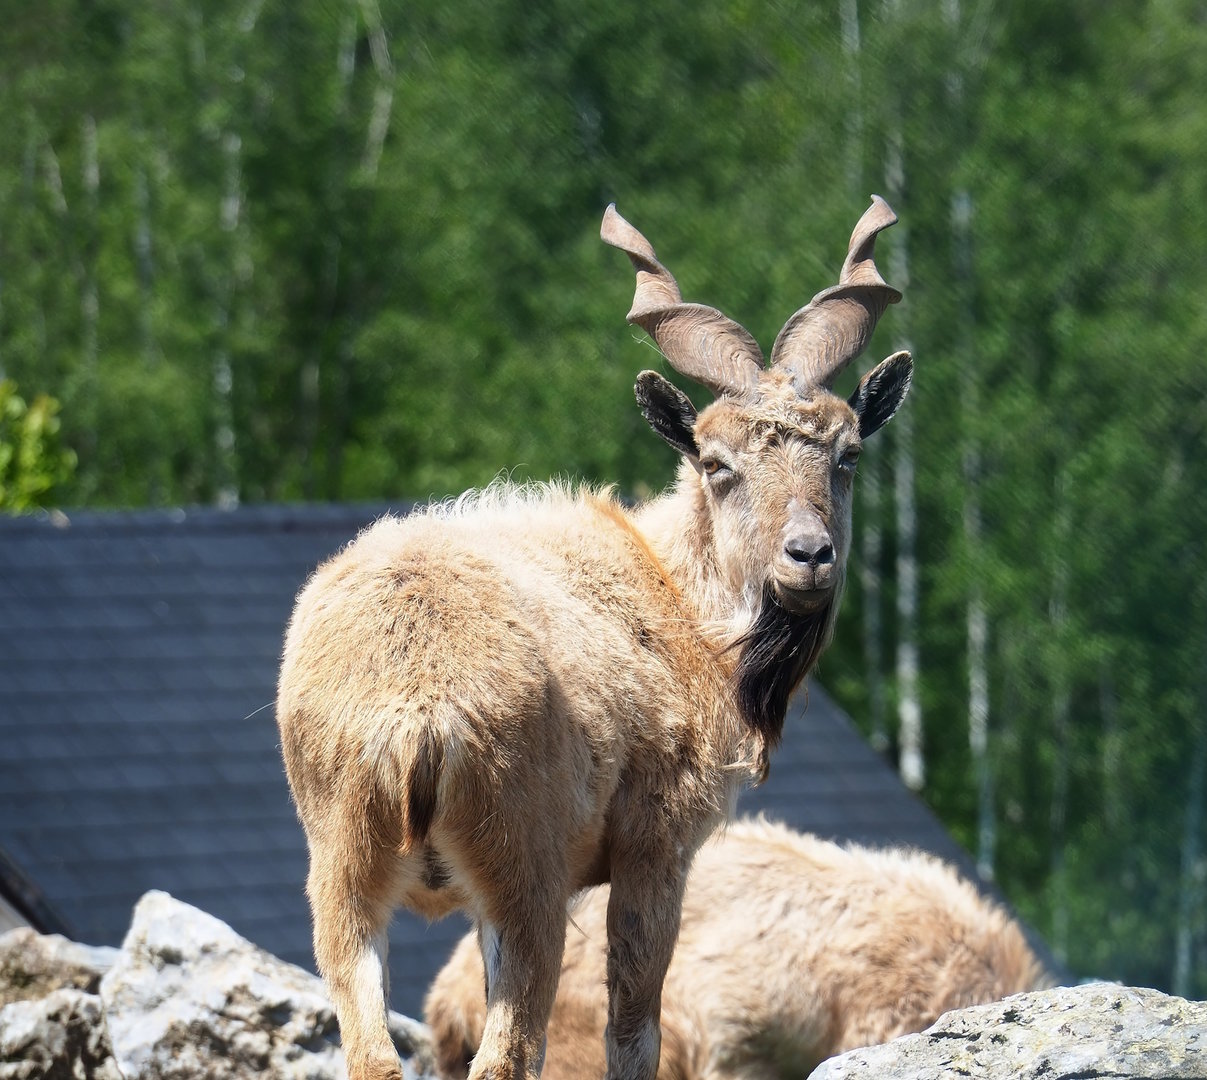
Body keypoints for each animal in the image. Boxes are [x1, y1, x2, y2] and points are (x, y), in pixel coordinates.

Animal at [275, 197, 912, 1080]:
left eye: (846, 452)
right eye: (716, 462)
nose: (807, 556)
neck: (673, 595)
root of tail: (414, 710)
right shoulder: (657, 846)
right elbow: (632, 1030)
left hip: (343, 873)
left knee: (373, 1049)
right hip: (524, 873)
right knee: (504, 1054)